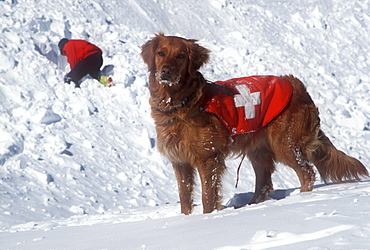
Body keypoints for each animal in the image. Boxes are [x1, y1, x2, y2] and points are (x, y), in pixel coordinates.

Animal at [140, 32, 368, 214]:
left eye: (180, 56)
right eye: (161, 53)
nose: (165, 71)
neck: (181, 104)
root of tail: (298, 85)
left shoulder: (208, 159)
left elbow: (207, 197)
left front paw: (208, 217)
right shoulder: (180, 162)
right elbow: (185, 197)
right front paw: (186, 218)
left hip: (286, 144)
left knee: (306, 173)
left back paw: (302, 200)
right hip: (259, 150)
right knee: (265, 183)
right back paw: (251, 206)